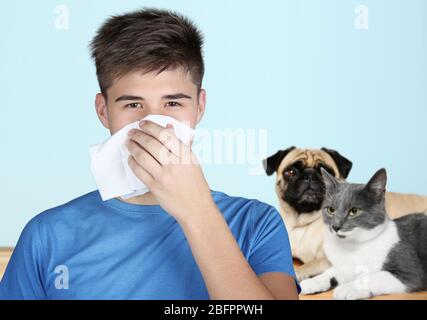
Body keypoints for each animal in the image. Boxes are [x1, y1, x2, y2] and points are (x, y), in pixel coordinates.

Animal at [262, 146, 427, 282]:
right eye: (291, 172)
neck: (302, 222)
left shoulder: (326, 260)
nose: (309, 175)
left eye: (324, 170)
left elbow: (307, 266)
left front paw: (298, 272)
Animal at [300, 169, 427, 298]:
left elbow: (370, 277)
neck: (352, 246)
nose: (335, 226)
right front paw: (314, 281)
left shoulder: (410, 272)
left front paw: (346, 289)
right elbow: (333, 271)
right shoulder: (343, 266)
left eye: (354, 211)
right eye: (331, 210)